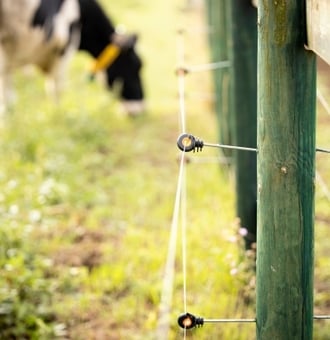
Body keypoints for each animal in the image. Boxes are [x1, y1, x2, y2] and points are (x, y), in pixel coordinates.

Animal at [0, 0, 144, 115]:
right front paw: (58, 116)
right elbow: (56, 89)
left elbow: (8, 97)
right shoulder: (64, 47)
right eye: (137, 65)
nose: (141, 107)